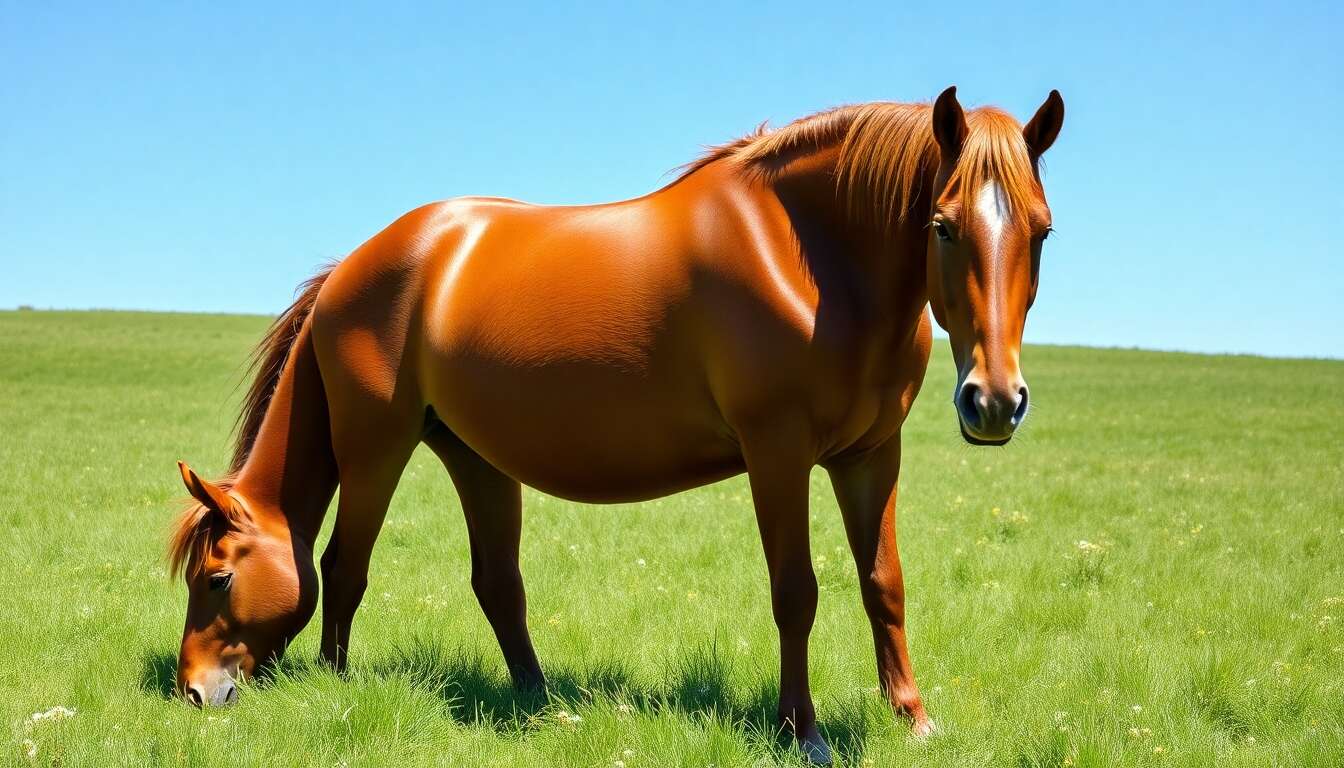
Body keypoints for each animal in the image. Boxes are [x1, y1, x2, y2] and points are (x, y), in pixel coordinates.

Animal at [169, 85, 1063, 763]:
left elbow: (884, 583)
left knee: (491, 582)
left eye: (1042, 230)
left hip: (472, 455)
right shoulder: (778, 454)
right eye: (942, 225)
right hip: (376, 446)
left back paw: (539, 705)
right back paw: (341, 684)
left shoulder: (871, 454)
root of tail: (355, 268)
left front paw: (913, 720)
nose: (993, 401)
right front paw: (801, 733)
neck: (810, 255)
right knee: (345, 565)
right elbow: (796, 591)